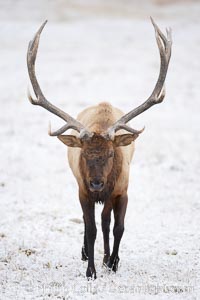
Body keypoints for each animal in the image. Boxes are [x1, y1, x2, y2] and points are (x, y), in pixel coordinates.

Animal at [26, 18, 172, 278]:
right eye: (84, 154)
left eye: (112, 153)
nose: (96, 182)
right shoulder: (83, 192)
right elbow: (91, 228)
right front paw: (91, 271)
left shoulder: (122, 190)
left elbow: (117, 227)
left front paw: (113, 263)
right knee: (90, 223)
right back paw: (87, 254)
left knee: (106, 222)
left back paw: (107, 258)